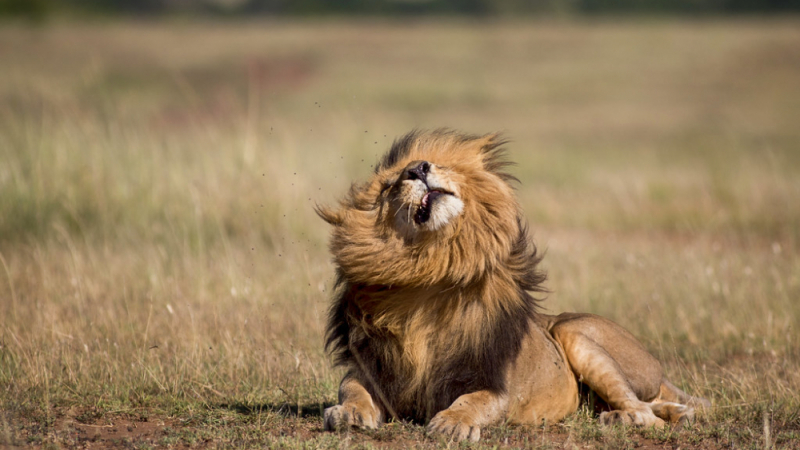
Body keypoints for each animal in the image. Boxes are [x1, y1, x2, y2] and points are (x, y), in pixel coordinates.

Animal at [316, 128, 708, 442]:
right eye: (390, 186)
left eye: (433, 164)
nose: (418, 169)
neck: (425, 280)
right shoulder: (377, 369)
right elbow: (350, 386)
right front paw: (349, 412)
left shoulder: (493, 381)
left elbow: (473, 400)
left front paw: (452, 423)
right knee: (653, 407)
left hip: (572, 331)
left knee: (642, 409)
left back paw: (627, 418)